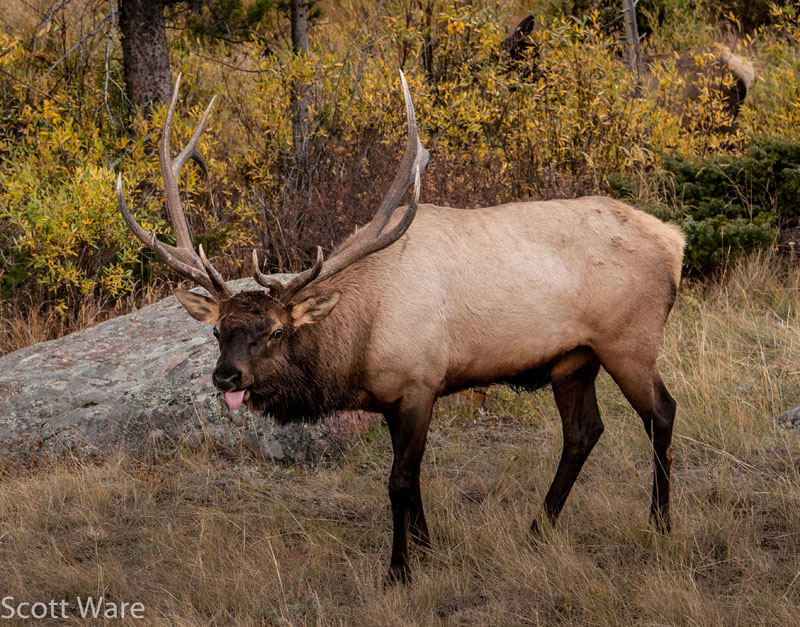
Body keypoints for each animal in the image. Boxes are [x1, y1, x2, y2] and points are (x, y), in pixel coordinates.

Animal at [116, 72, 685, 584]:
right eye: (218, 332)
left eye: (277, 331)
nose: (226, 377)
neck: (359, 343)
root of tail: (674, 241)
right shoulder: (391, 397)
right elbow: (411, 482)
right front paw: (427, 548)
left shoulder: (419, 382)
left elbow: (398, 480)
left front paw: (399, 570)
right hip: (574, 358)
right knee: (584, 431)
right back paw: (538, 528)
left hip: (629, 340)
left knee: (661, 411)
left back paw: (659, 523)